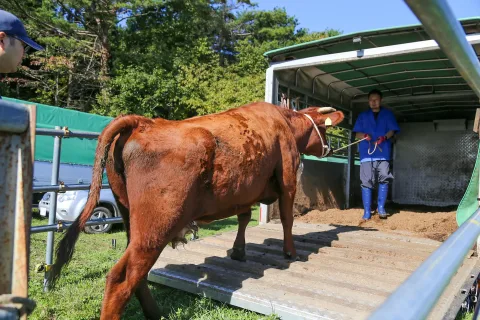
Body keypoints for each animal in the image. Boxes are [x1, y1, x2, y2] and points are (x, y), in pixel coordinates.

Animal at [50, 101, 344, 318]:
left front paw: (238, 251)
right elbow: (286, 218)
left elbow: (244, 217)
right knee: (121, 278)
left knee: (137, 274)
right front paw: (290, 252)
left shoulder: (244, 190)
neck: (282, 122)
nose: (330, 147)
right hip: (157, 226)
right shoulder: (288, 180)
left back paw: (156, 314)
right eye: (324, 130)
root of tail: (144, 122)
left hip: (131, 219)